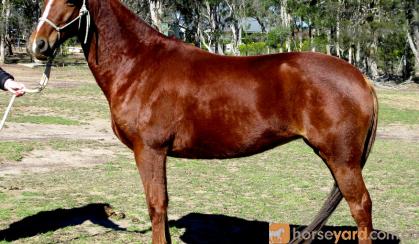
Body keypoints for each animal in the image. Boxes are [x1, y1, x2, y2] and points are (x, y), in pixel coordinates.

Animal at [27, 0, 378, 243]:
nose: (38, 45)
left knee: (361, 207)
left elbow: (156, 205)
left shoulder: (150, 150)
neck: (139, 64)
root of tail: (361, 78)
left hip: (342, 159)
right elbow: (161, 206)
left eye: (71, 1)